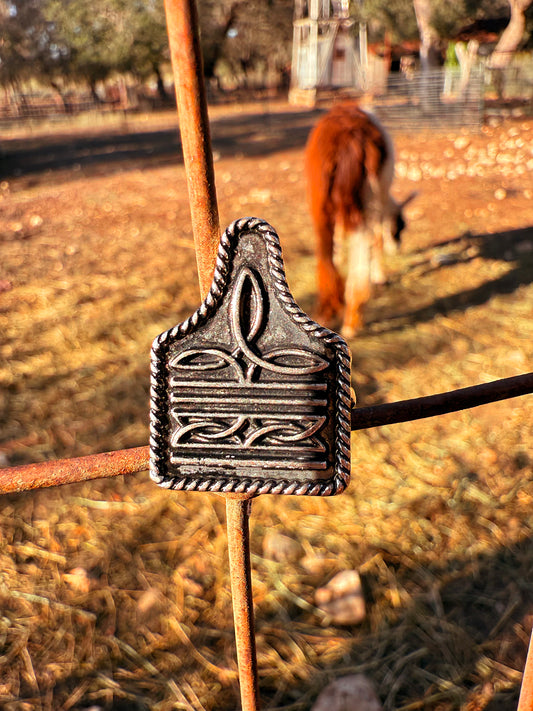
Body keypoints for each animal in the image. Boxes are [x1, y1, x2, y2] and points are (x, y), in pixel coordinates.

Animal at [305, 102, 416, 337]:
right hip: (363, 195)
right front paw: (380, 277)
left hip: (324, 197)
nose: (398, 248)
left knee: (328, 246)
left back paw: (336, 313)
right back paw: (351, 316)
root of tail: (351, 135)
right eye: (400, 227)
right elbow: (377, 235)